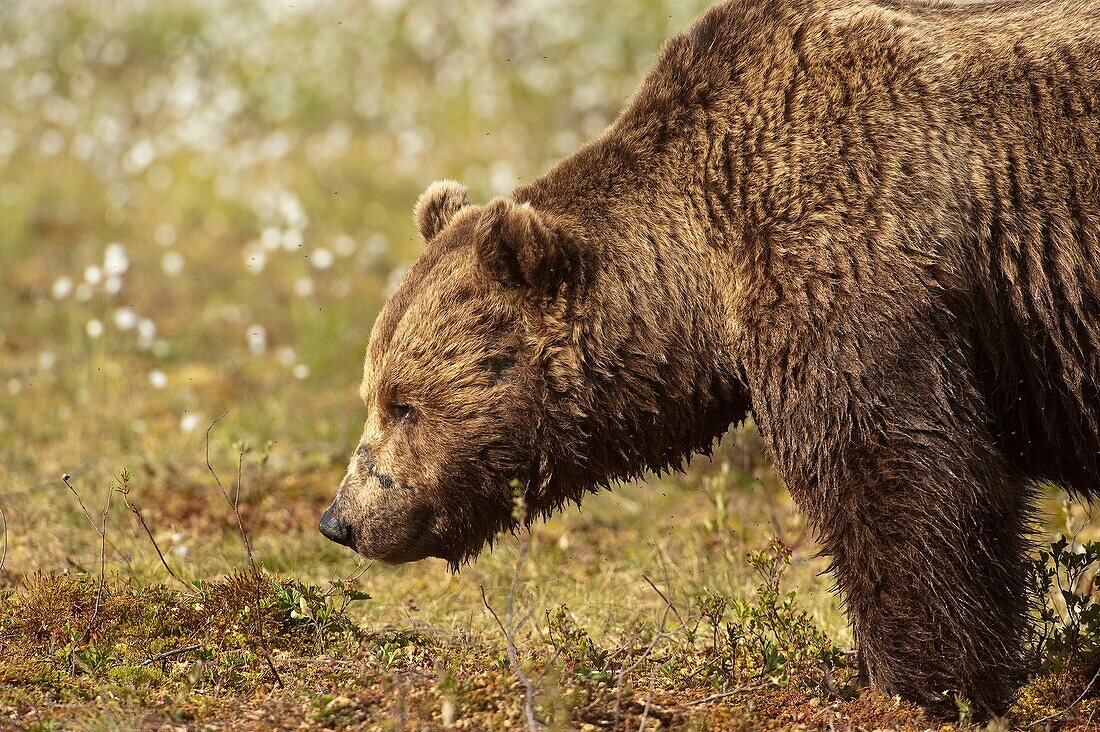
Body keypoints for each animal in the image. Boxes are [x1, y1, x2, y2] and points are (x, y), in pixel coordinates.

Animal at [319, 0, 1100, 713]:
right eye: (372, 394)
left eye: (404, 404)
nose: (341, 520)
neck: (699, 261)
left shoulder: (855, 257)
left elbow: (899, 466)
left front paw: (919, 682)